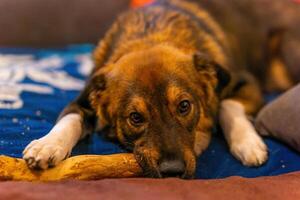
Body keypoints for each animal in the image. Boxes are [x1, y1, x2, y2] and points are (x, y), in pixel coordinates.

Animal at [22, 0, 296, 178]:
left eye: (184, 106)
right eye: (135, 117)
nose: (172, 171)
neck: (150, 36)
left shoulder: (244, 81)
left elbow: (227, 104)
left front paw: (247, 143)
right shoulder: (84, 99)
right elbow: (70, 118)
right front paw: (47, 145)